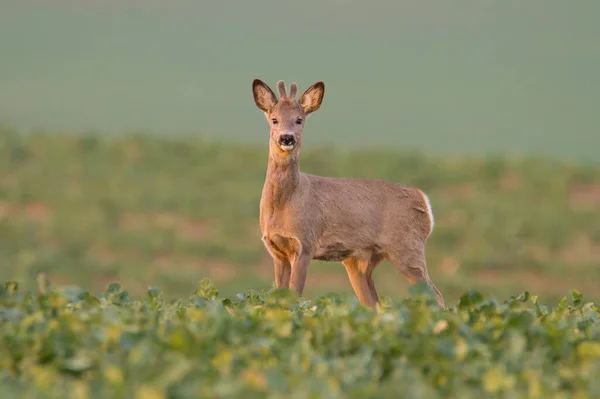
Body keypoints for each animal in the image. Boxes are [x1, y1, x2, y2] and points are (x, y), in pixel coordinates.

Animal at [251, 78, 442, 310]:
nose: (286, 138)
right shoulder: (277, 250)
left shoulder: (305, 244)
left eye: (299, 120)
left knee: (436, 294)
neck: (286, 203)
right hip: (359, 261)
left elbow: (296, 295)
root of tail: (424, 201)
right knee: (374, 304)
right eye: (274, 120)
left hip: (407, 247)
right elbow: (280, 296)